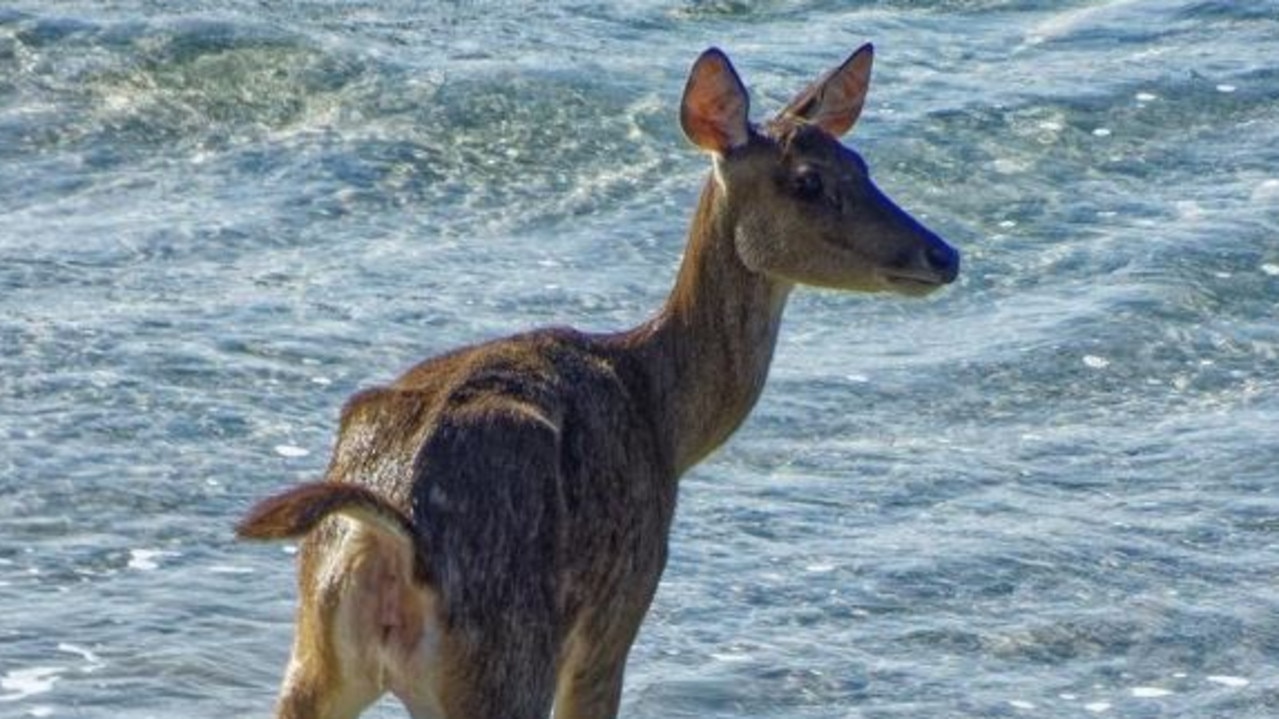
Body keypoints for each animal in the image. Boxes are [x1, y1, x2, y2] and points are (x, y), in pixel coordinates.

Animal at [237, 43, 961, 716]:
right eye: (807, 181)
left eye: (861, 163)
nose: (943, 253)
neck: (665, 415)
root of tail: (382, 539)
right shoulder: (619, 607)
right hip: (506, 656)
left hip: (316, 656)